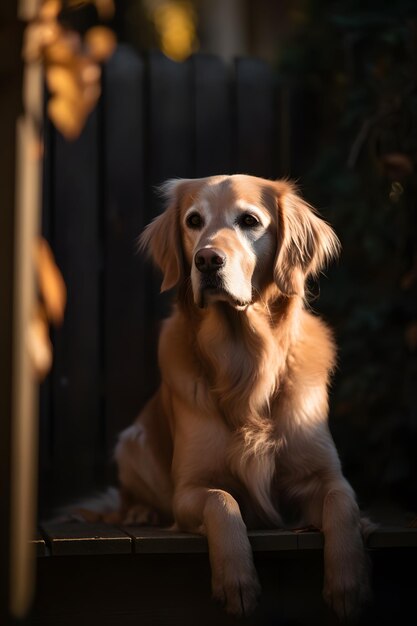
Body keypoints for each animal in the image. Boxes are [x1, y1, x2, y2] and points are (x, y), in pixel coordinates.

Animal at [109, 173, 368, 616]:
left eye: (249, 220)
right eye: (194, 221)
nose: (207, 260)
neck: (245, 362)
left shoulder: (324, 475)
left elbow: (343, 504)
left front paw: (348, 582)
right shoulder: (188, 490)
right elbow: (222, 500)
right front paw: (237, 581)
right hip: (133, 442)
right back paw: (140, 512)